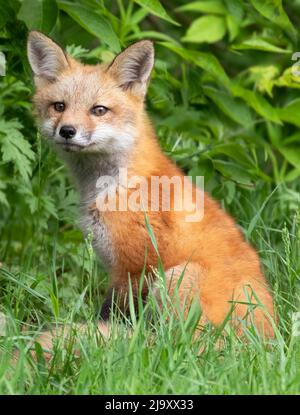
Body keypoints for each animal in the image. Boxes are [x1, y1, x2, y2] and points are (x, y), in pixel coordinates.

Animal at [27, 30, 276, 352]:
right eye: (59, 106)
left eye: (99, 110)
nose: (67, 131)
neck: (116, 185)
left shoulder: (134, 267)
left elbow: (110, 314)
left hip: (177, 278)